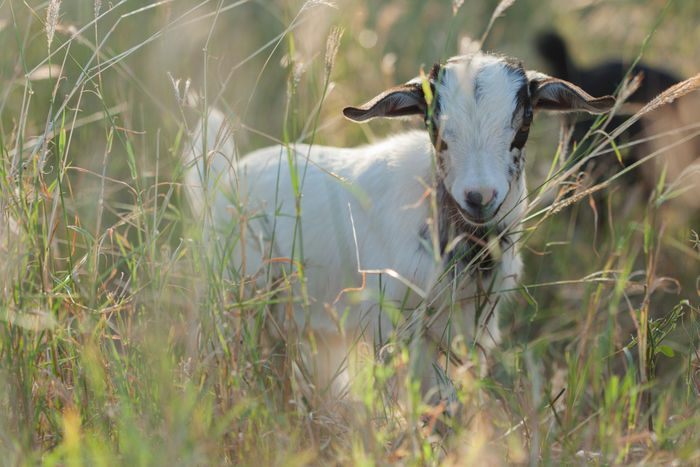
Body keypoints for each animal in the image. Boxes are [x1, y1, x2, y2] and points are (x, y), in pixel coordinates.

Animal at [185, 51, 612, 402]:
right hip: (239, 296)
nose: (479, 197)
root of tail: (224, 176)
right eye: (433, 125)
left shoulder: (469, 329)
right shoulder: (395, 328)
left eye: (524, 121)